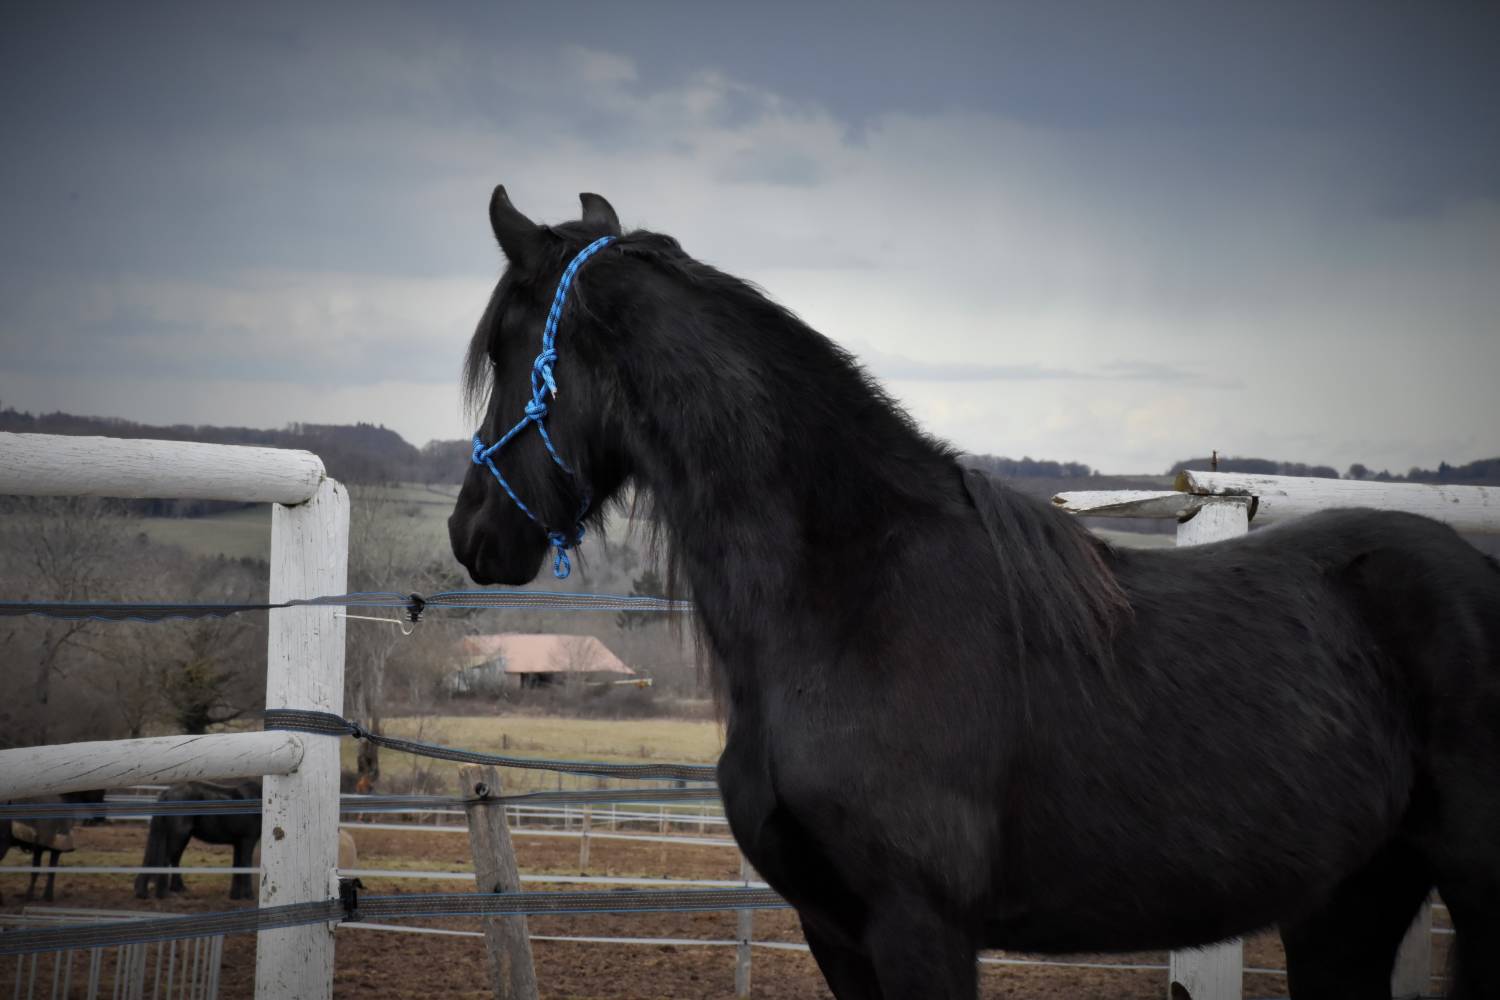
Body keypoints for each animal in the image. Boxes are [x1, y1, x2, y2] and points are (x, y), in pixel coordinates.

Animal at [447, 186, 1500, 999]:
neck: (849, 601)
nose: (470, 531)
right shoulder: (838, 932)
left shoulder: (922, 927)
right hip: (1348, 902)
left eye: (507, 349)